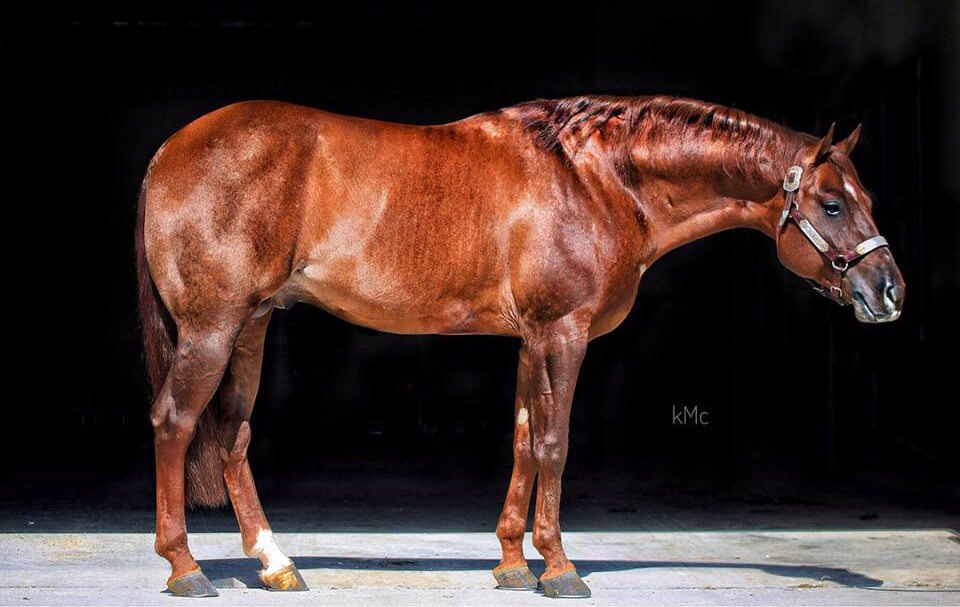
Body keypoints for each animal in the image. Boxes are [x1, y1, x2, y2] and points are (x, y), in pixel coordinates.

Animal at [136, 95, 904, 598]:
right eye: (833, 204)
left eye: (866, 197)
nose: (890, 290)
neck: (595, 180)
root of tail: (170, 149)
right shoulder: (563, 333)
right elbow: (556, 445)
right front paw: (559, 568)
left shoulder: (532, 340)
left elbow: (524, 441)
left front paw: (510, 561)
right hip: (212, 328)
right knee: (175, 423)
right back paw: (185, 568)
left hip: (252, 326)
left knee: (231, 435)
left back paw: (275, 563)